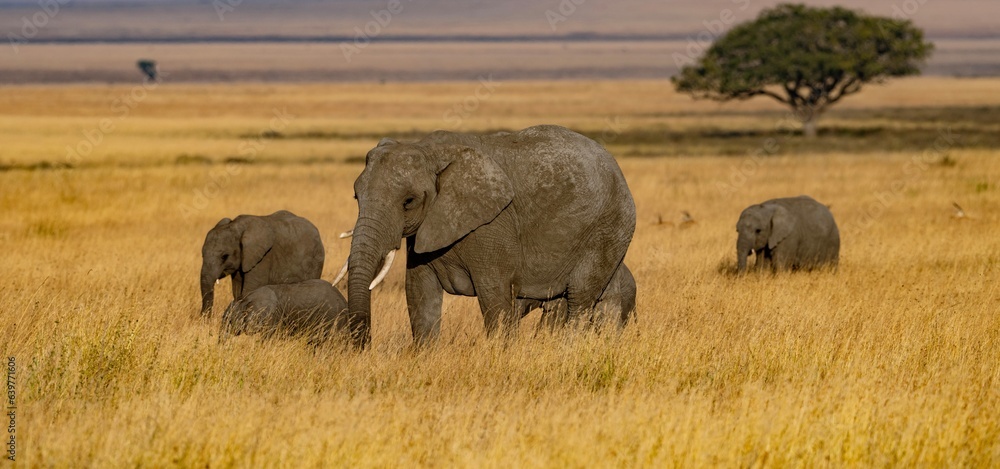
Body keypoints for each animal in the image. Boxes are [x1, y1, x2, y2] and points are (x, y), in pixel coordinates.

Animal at [344, 125, 636, 348]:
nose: (362, 347)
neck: (429, 151)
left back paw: (568, 348)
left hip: (609, 225)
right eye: (356, 197)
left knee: (579, 296)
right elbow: (419, 294)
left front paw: (501, 355)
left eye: (408, 202)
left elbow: (493, 295)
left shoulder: (493, 225)